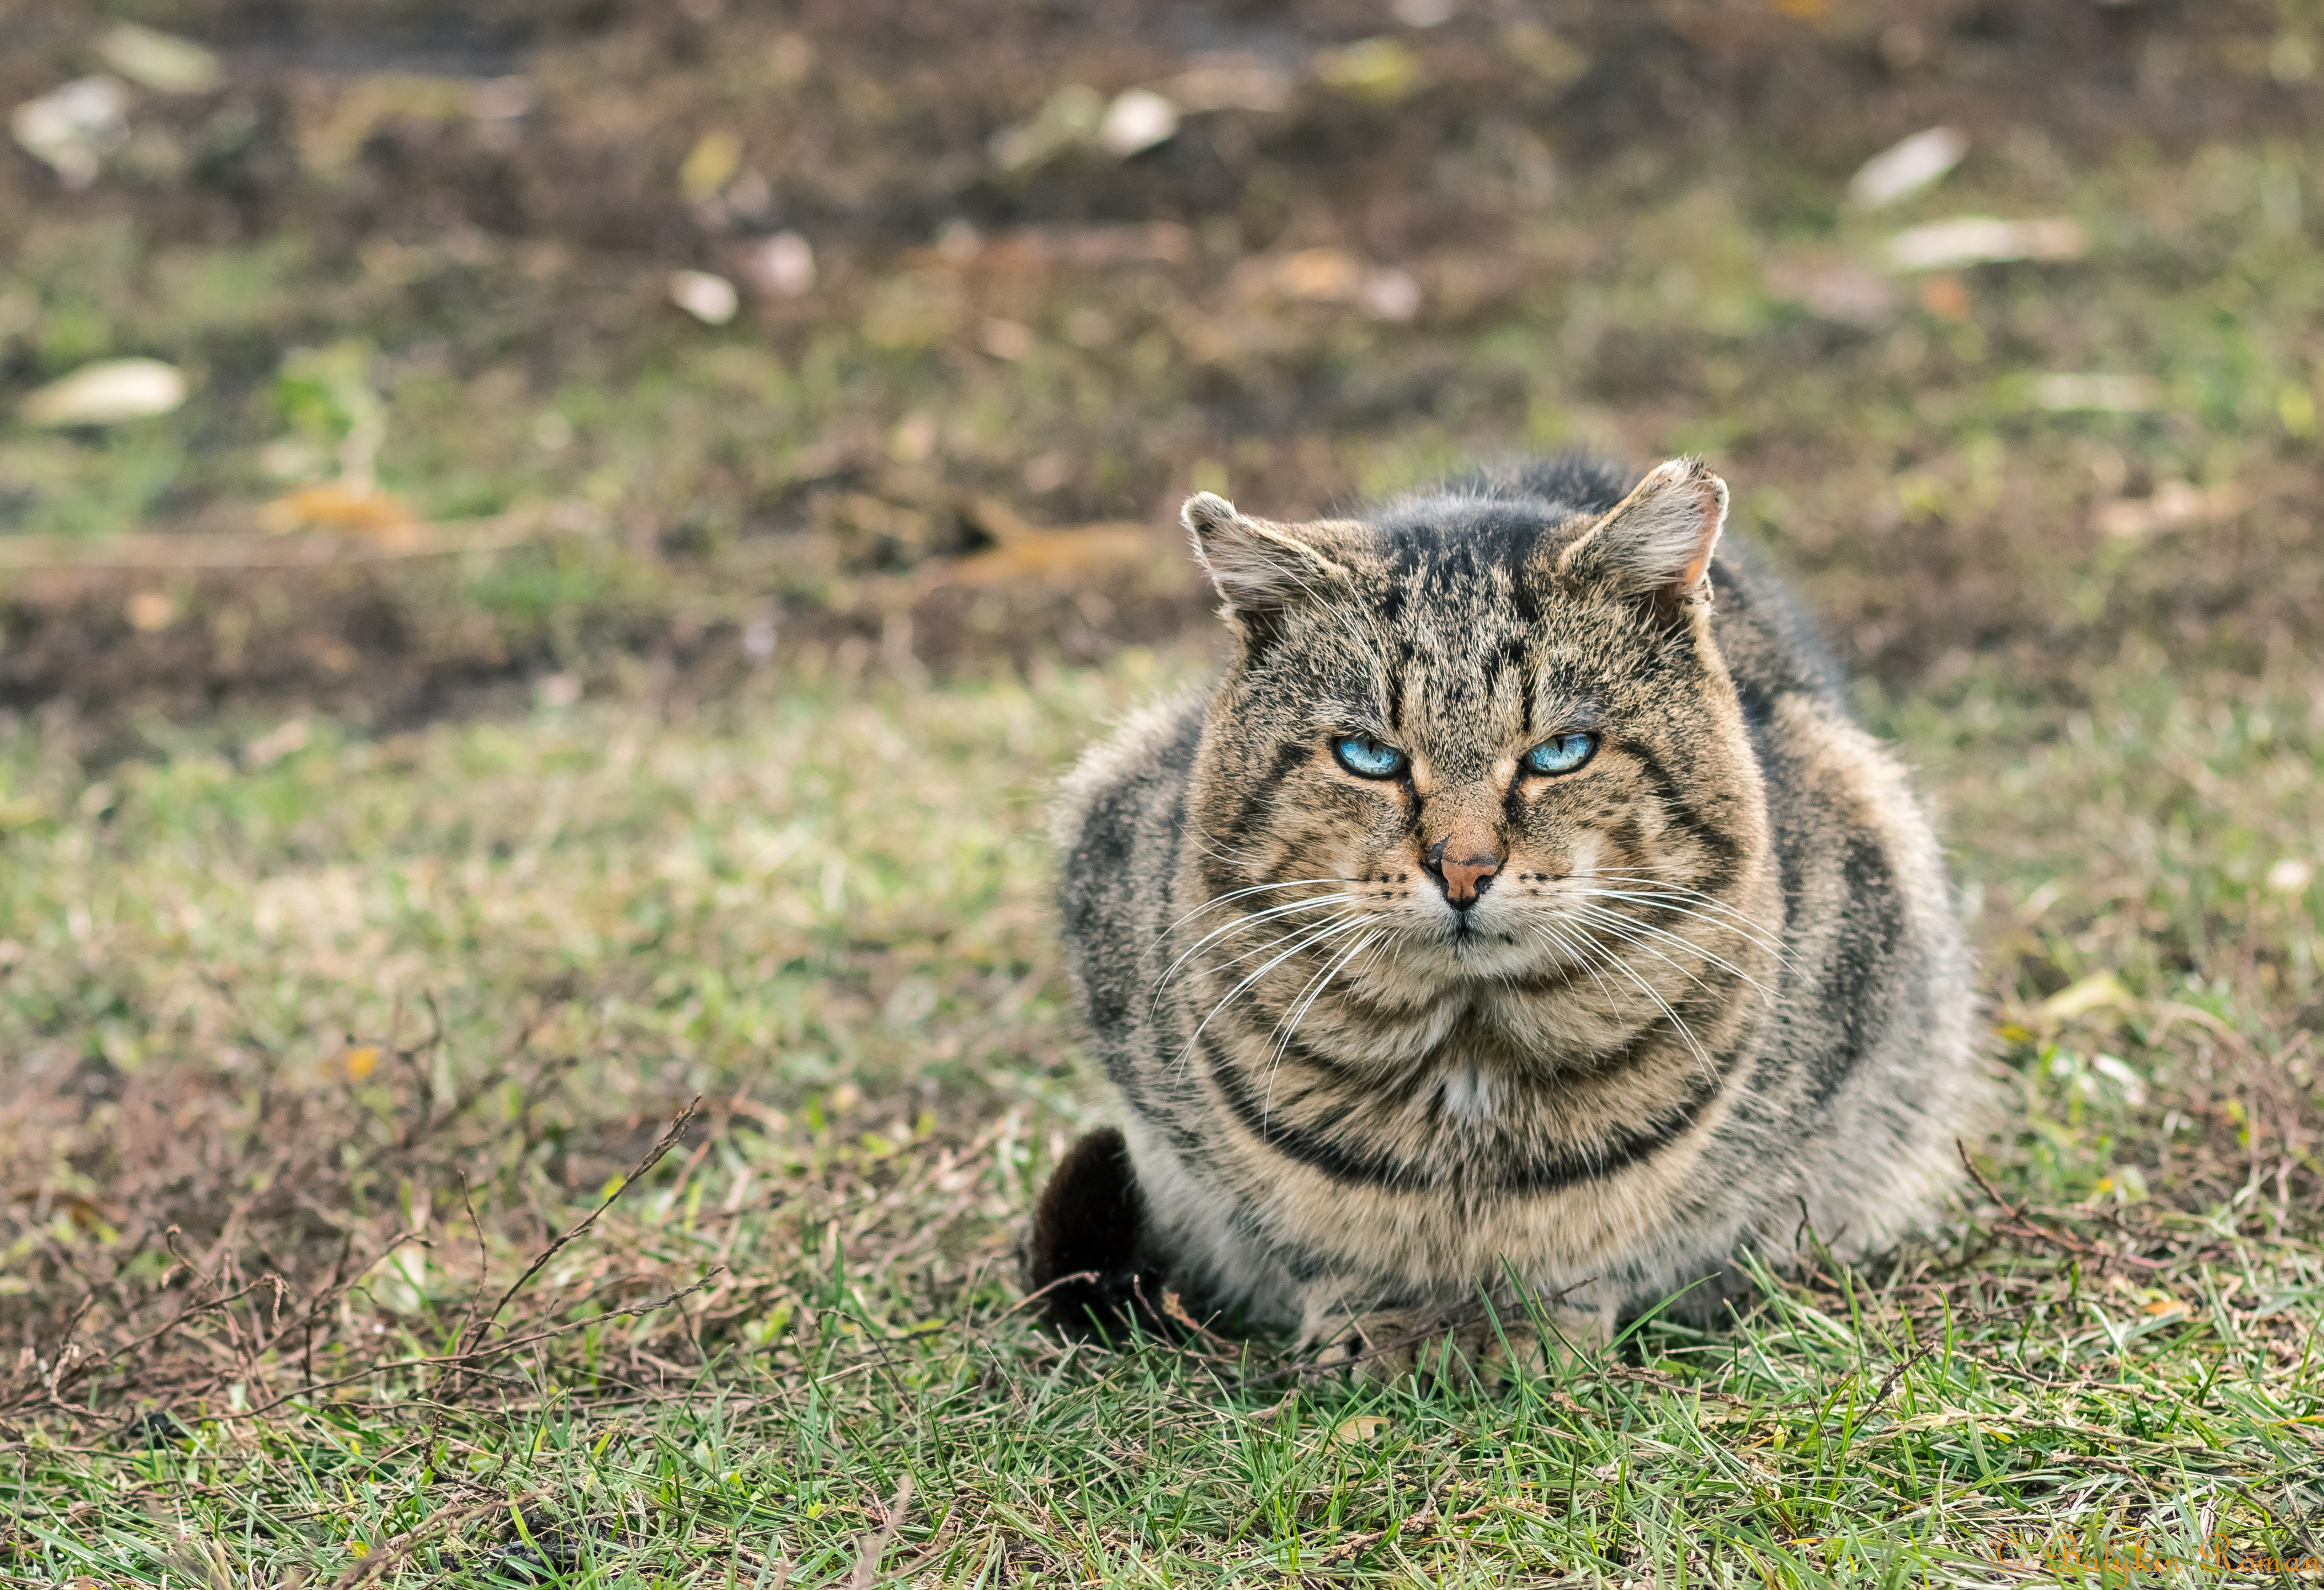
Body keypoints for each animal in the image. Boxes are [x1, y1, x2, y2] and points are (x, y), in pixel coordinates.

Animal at [1032, 453, 1980, 1376]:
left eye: (1560, 751)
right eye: (1367, 754)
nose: (1463, 868)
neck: (1469, 1060)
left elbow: (1616, 1239)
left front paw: (1534, 1323)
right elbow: (1320, 1242)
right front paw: (1378, 1320)